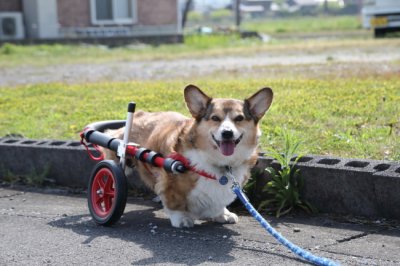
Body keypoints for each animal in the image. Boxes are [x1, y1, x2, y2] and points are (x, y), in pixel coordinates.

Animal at [101, 84, 274, 228]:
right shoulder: (169, 180)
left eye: (239, 119)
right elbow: (174, 202)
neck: (221, 163)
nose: (227, 133)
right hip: (120, 161)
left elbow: (219, 202)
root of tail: (137, 115)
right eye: (215, 118)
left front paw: (222, 214)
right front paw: (181, 218)